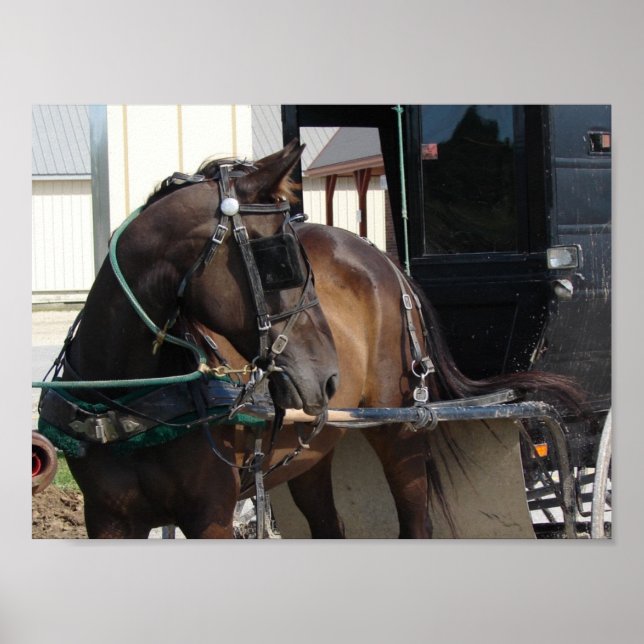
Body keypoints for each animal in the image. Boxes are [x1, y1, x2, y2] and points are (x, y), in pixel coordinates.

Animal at [37, 140, 585, 538]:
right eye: (280, 258)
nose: (329, 376)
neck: (127, 400)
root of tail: (387, 262)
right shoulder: (107, 519)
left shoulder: (210, 515)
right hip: (310, 455)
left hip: (401, 432)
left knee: (415, 522)